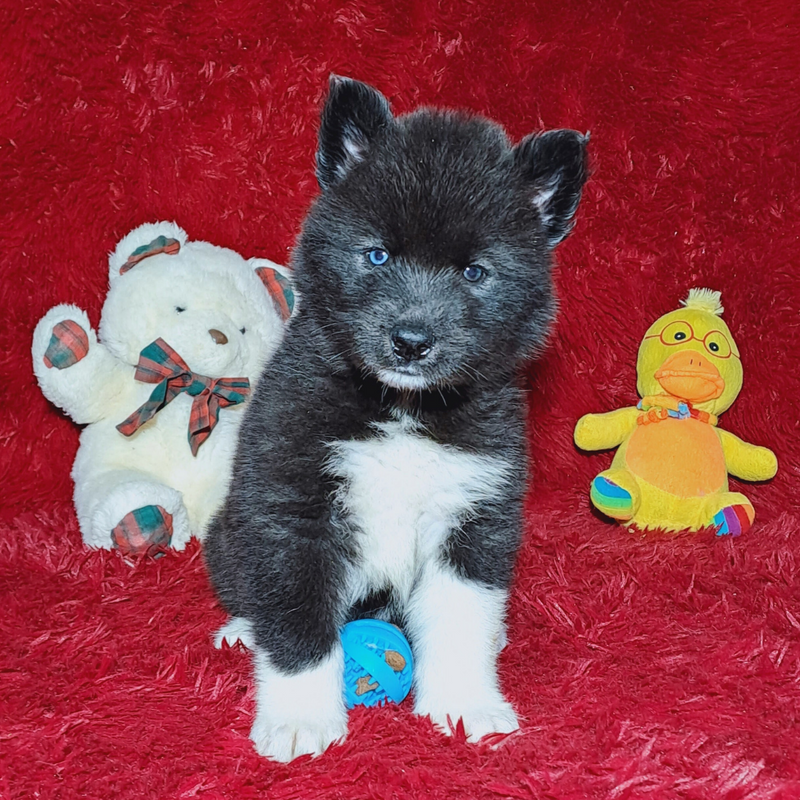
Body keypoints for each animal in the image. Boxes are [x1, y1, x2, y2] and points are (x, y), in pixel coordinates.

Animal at [205, 76, 588, 764]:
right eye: (377, 256)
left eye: (475, 272)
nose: (411, 342)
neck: (403, 409)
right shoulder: (296, 510)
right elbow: (297, 624)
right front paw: (300, 720)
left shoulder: (474, 515)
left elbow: (461, 618)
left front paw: (464, 704)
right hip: (228, 534)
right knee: (251, 593)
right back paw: (241, 629)